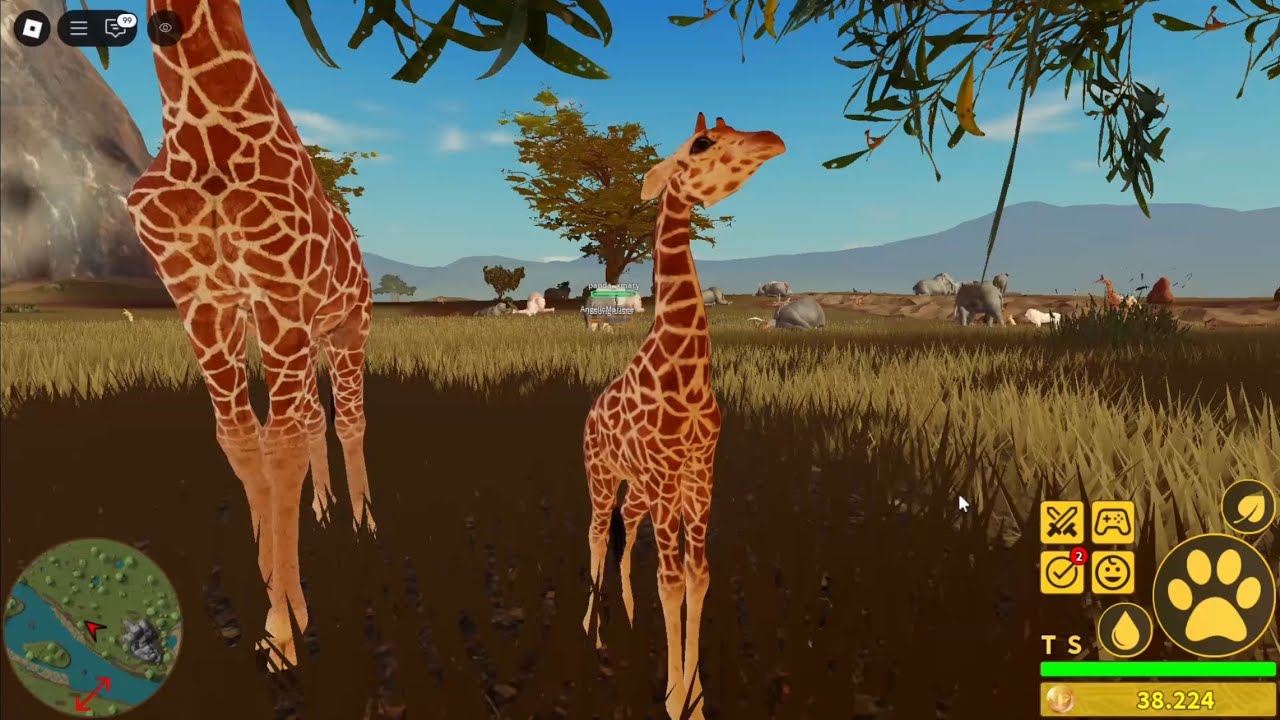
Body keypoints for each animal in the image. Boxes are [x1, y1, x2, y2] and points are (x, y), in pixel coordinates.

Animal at [126, 0, 376, 670]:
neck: (201, 129)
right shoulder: (201, 301)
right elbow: (242, 440)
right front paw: (274, 596)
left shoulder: (279, 292)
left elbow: (280, 446)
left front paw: (286, 629)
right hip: (297, 335)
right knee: (313, 417)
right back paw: (324, 512)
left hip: (348, 328)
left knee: (349, 419)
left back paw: (363, 522)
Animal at [581, 113, 785, 719]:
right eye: (702, 143)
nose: (772, 140)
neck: (690, 376)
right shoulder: (668, 476)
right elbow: (670, 581)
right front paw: (674, 698)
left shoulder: (699, 473)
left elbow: (699, 575)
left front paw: (697, 694)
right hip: (602, 474)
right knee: (596, 533)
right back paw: (592, 630)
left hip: (640, 489)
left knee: (624, 531)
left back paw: (624, 618)